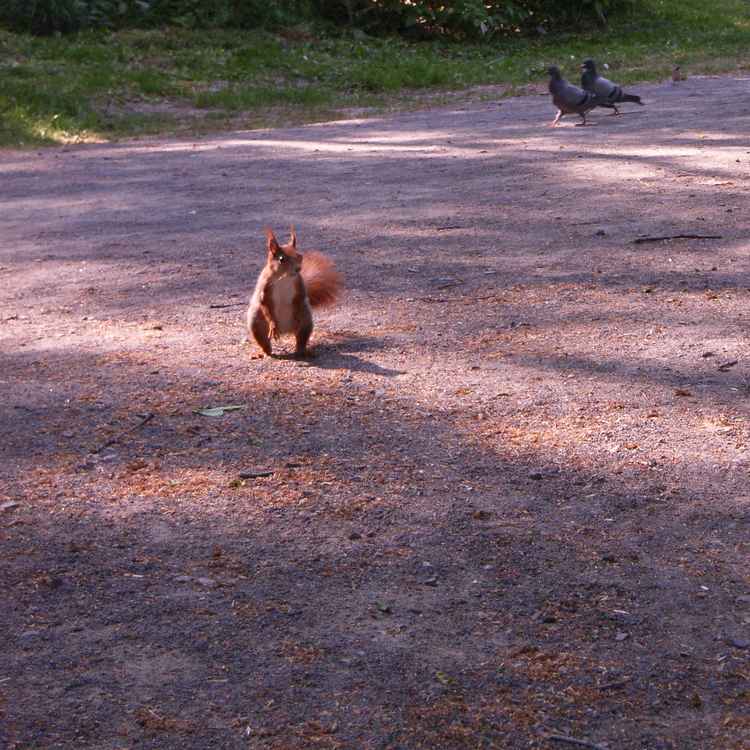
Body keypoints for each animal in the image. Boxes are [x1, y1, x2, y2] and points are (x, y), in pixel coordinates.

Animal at [247, 227, 342, 358]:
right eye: (281, 259)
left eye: (300, 256)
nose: (298, 269)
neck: (284, 277)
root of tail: (285, 330)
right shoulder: (265, 285)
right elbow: (264, 303)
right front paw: (273, 325)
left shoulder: (299, 285)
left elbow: (299, 299)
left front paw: (296, 318)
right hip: (257, 323)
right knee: (264, 342)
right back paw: (264, 352)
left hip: (306, 321)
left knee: (301, 338)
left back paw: (304, 351)